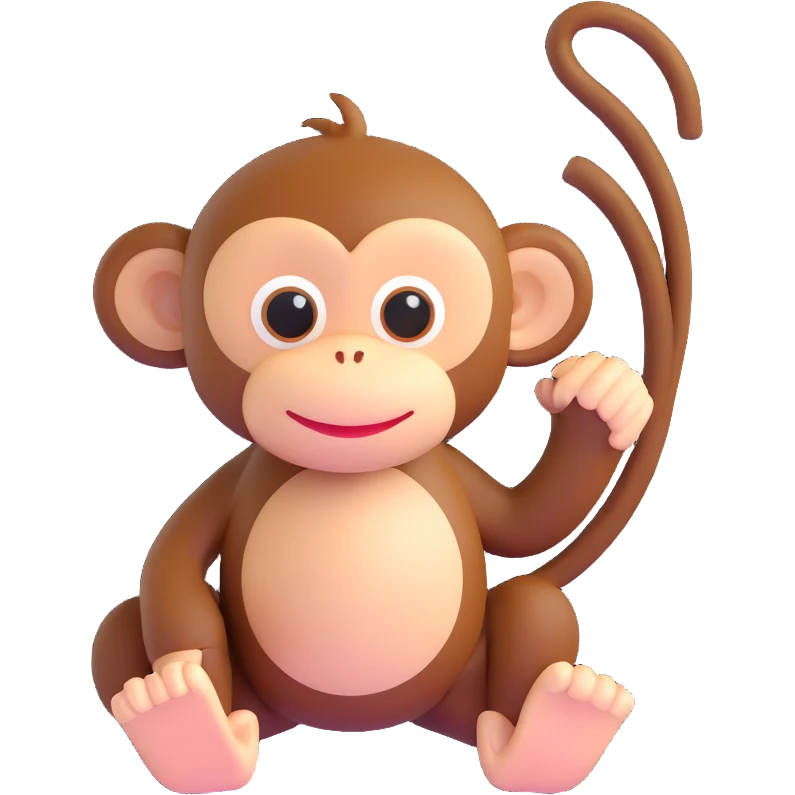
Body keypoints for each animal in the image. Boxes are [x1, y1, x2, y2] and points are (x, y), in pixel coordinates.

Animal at [89, 4, 701, 792]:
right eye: (288, 311)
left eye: (410, 311)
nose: (349, 354)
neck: (354, 473)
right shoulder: (227, 486)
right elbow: (169, 576)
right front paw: (176, 685)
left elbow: (528, 522)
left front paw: (600, 396)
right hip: (260, 697)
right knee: (120, 629)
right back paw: (187, 731)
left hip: (461, 688)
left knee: (534, 607)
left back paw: (555, 728)